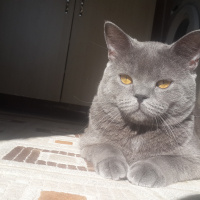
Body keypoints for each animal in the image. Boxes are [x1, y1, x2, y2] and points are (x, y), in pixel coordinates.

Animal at [79, 21, 200, 187]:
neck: (138, 131)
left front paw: (146, 170)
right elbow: (106, 146)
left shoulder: (194, 157)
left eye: (163, 83)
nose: (140, 95)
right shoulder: (89, 139)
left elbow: (167, 160)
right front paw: (113, 165)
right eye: (125, 79)